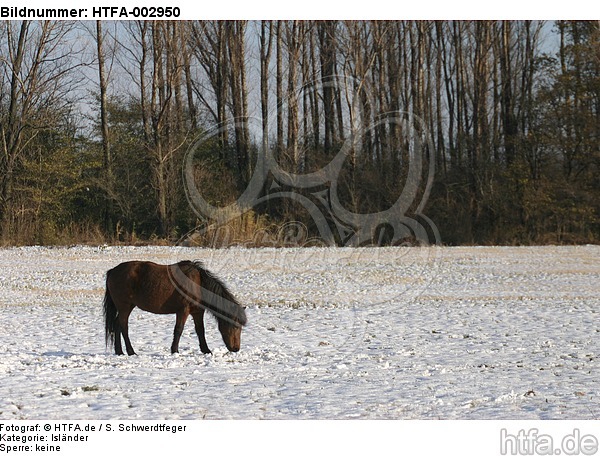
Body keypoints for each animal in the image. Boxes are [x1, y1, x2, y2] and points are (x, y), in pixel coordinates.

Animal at [102, 260, 247, 356]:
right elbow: (178, 330)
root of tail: (112, 271)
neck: (197, 283)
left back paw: (119, 351)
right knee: (123, 326)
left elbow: (200, 330)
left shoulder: (197, 312)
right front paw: (175, 350)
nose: (236, 348)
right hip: (125, 307)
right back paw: (131, 351)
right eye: (235, 326)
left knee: (117, 325)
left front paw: (206, 350)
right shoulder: (183, 311)